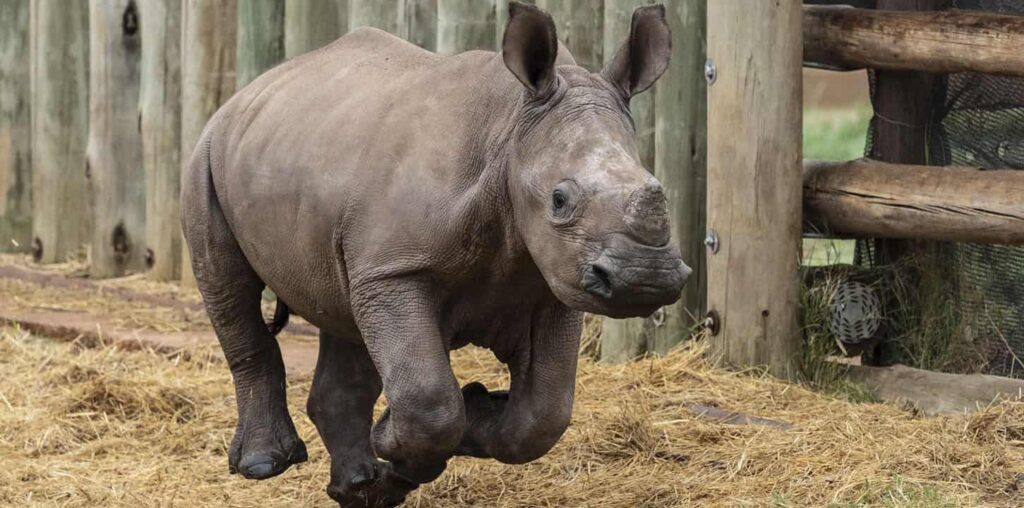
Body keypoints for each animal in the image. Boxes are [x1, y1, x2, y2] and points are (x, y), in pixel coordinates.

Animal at [182, 1, 688, 505]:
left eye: (658, 187)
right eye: (559, 201)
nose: (646, 278)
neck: (510, 133)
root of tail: (250, 90)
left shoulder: (550, 282)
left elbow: (544, 414)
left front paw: (463, 419)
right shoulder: (395, 272)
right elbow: (429, 402)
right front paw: (396, 436)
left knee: (342, 313)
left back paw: (358, 489)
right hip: (207, 155)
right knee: (230, 288)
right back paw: (264, 465)